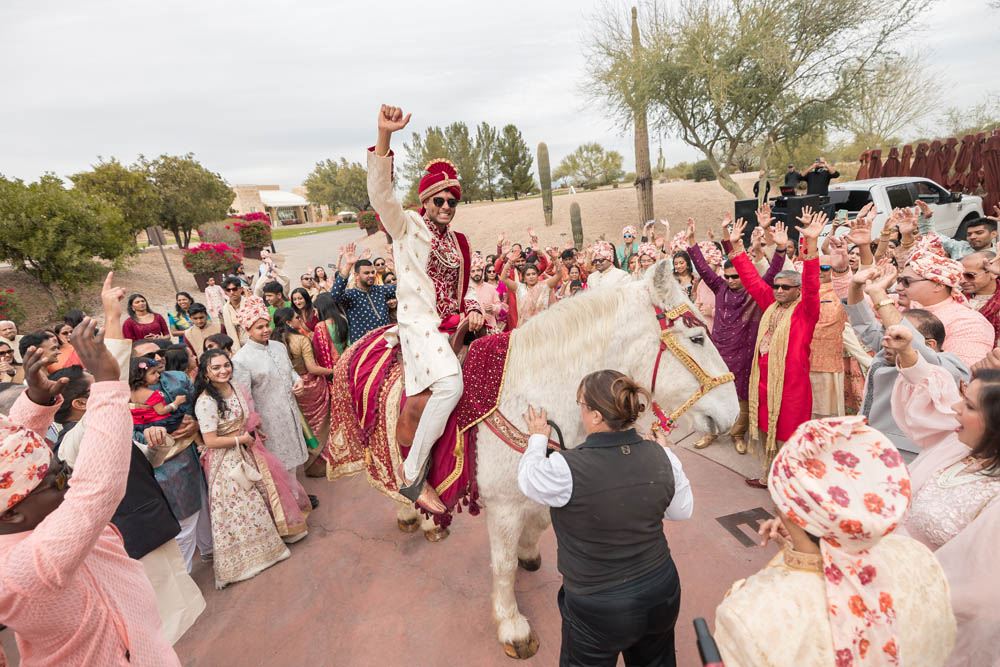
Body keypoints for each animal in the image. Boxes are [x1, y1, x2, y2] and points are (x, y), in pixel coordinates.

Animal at [394, 260, 740, 656]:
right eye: (697, 338)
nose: (733, 413)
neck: (526, 394)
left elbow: (538, 528)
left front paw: (529, 554)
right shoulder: (503, 506)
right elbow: (503, 564)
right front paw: (512, 625)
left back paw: (425, 517)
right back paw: (412, 507)